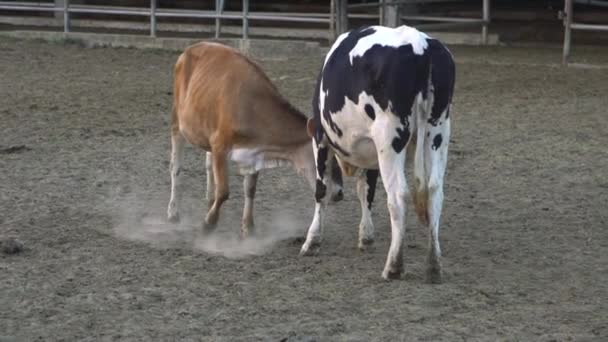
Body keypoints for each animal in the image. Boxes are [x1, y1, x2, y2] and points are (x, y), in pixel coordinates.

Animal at [166, 40, 344, 238]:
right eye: (327, 160)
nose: (339, 193)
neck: (252, 107)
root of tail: (191, 48)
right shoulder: (220, 145)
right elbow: (224, 191)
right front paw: (208, 223)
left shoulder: (254, 152)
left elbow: (250, 190)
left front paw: (248, 227)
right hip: (177, 121)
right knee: (176, 167)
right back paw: (173, 212)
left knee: (208, 165)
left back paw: (209, 200)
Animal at [302, 24, 454, 284]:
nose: (339, 195)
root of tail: (420, 45)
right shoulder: (369, 150)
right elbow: (366, 191)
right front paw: (366, 235)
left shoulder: (320, 138)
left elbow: (321, 191)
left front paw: (312, 240)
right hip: (438, 131)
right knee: (435, 192)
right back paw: (433, 266)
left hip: (389, 138)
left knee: (398, 196)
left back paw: (393, 266)